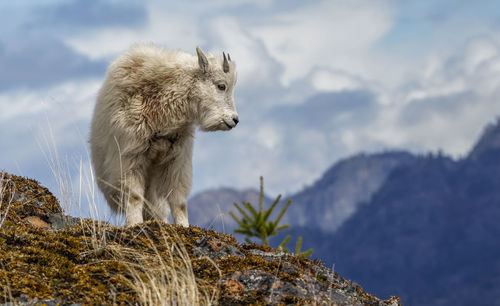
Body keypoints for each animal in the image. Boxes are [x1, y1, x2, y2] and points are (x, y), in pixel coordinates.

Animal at [91, 44, 239, 226]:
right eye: (221, 86)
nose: (234, 120)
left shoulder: (177, 160)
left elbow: (179, 201)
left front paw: (183, 226)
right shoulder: (130, 156)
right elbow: (134, 196)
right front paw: (134, 224)